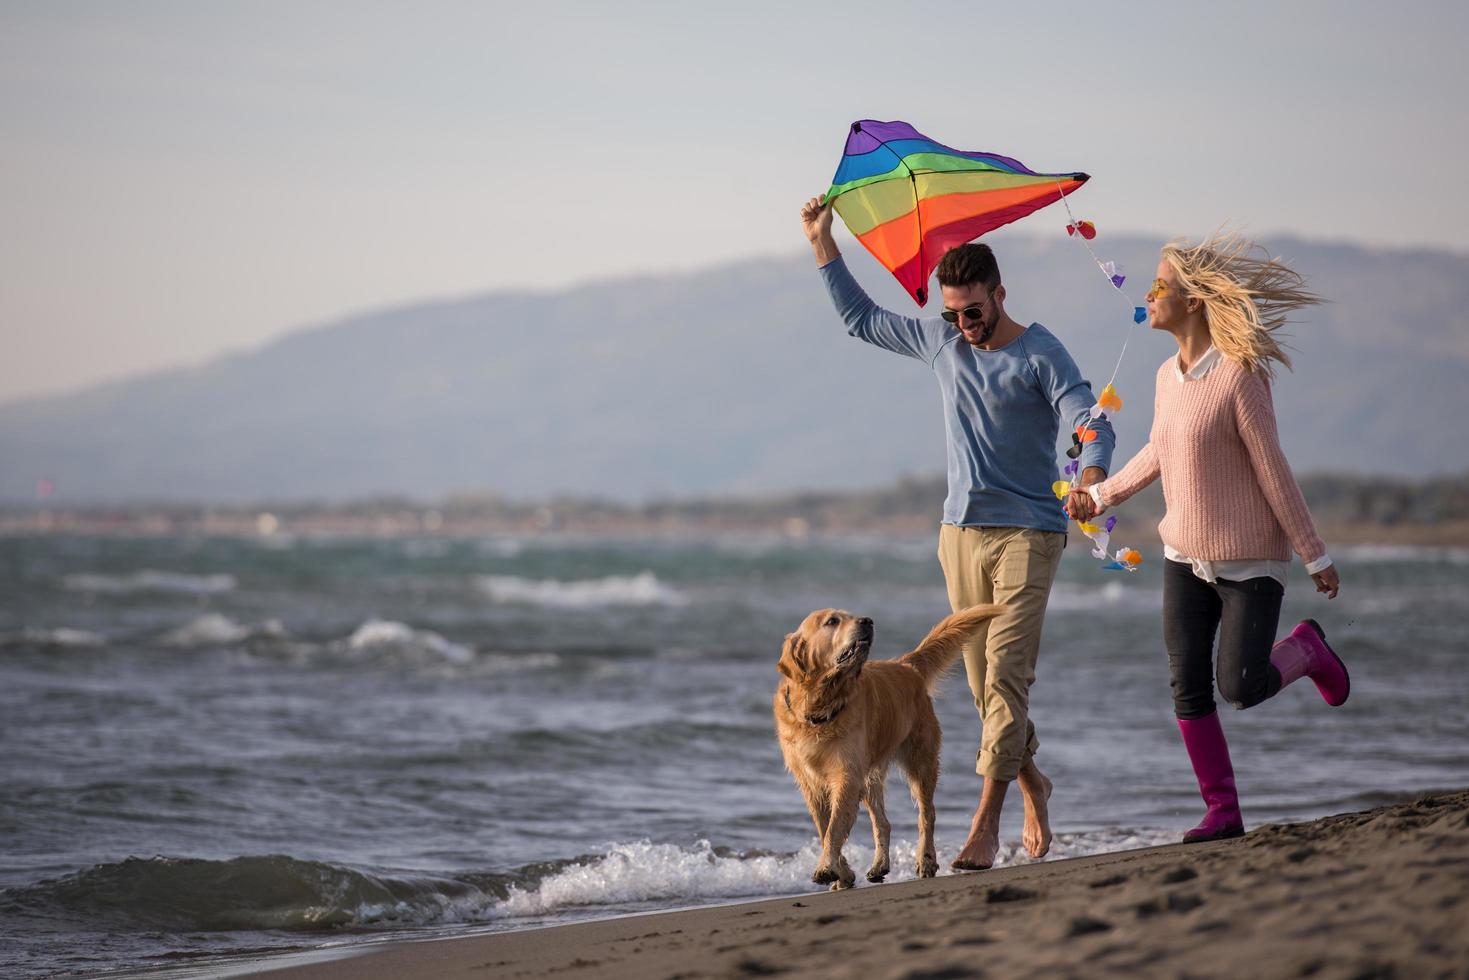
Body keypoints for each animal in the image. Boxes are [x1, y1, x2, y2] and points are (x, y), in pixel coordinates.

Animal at [775, 605, 1004, 887]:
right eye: (832, 621)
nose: (867, 621)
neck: (819, 708)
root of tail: (906, 665)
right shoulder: (811, 782)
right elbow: (824, 826)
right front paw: (843, 873)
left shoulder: (847, 775)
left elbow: (834, 828)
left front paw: (827, 867)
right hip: (871, 777)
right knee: (883, 823)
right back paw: (879, 865)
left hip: (921, 762)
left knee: (927, 815)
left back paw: (926, 860)